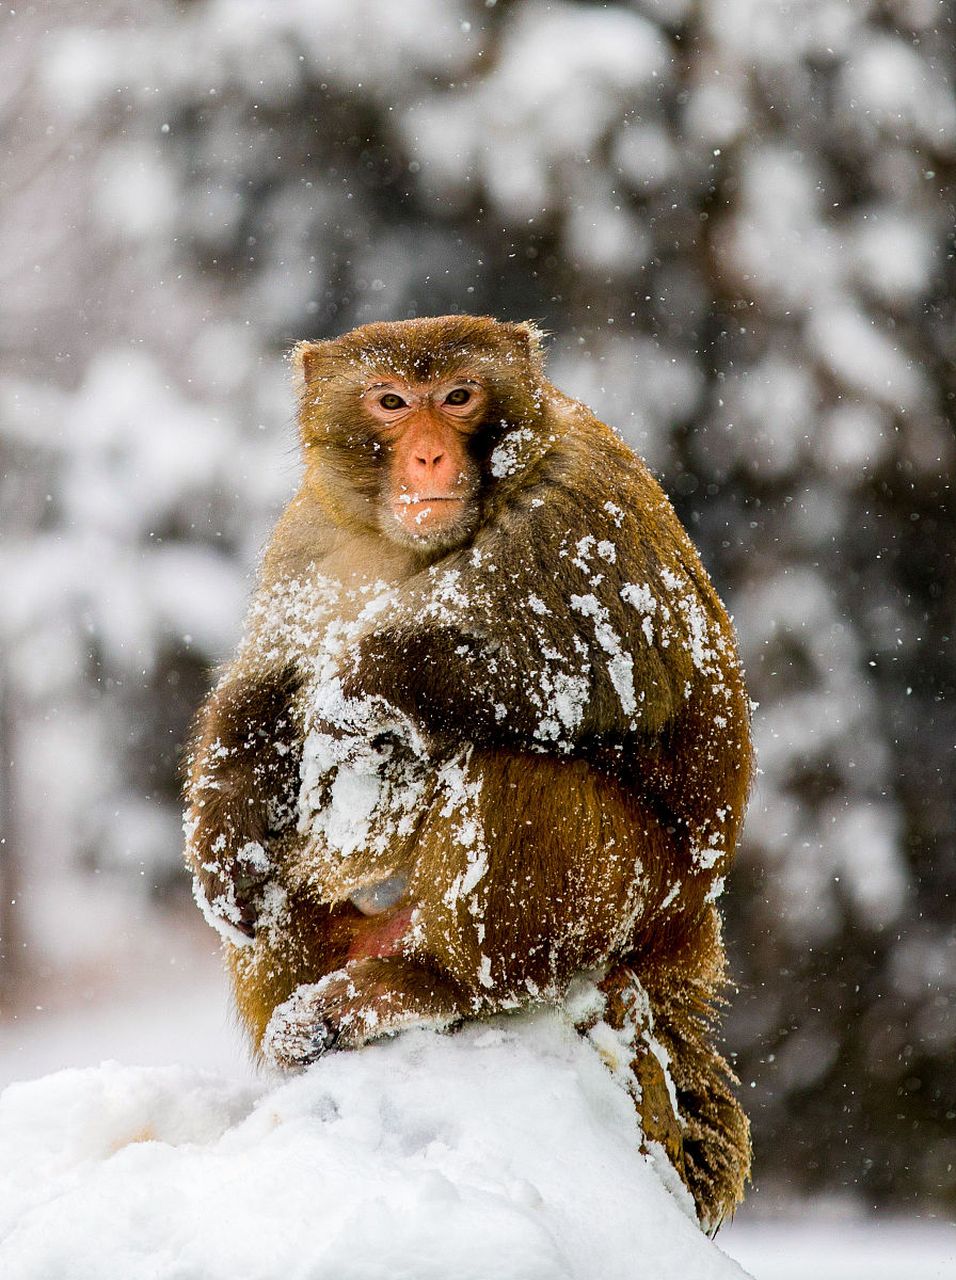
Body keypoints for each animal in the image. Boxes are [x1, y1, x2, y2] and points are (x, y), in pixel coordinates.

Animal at [183, 312, 757, 1228]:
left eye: (458, 396)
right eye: (390, 401)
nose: (426, 456)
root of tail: (691, 929)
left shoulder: (572, 521)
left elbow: (597, 680)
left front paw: (365, 683)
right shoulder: (307, 533)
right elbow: (266, 684)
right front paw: (222, 838)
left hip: (639, 894)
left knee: (510, 769)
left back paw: (437, 983)